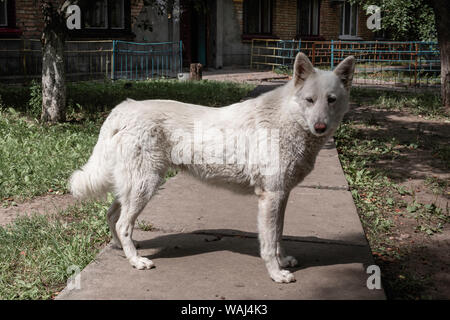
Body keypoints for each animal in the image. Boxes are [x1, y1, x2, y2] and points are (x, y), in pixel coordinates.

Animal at [69, 53, 356, 282]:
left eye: (331, 100)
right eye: (309, 100)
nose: (320, 127)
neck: (287, 118)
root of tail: (125, 108)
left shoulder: (281, 196)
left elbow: (278, 236)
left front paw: (282, 261)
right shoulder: (271, 197)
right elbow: (269, 240)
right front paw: (276, 273)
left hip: (133, 187)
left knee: (112, 216)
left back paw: (123, 249)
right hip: (145, 186)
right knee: (123, 224)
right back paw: (136, 261)